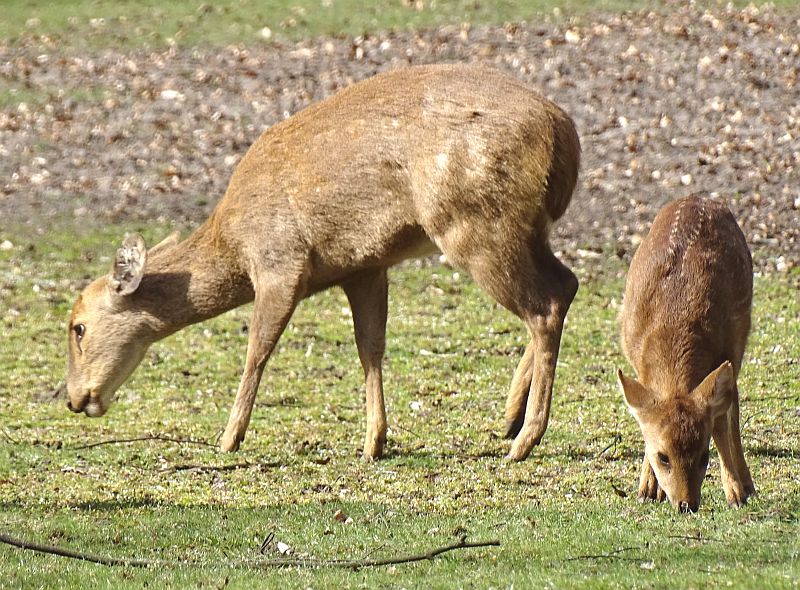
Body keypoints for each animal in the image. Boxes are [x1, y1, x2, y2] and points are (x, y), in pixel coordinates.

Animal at [67, 63, 580, 462]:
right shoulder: (364, 267)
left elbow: (257, 349)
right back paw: (509, 418)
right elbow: (370, 347)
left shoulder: (281, 263)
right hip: (524, 228)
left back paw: (524, 439)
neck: (234, 241)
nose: (75, 399)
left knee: (544, 306)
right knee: (567, 284)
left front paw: (228, 439)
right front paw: (374, 442)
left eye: (78, 327)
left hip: (475, 225)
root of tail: (564, 134)